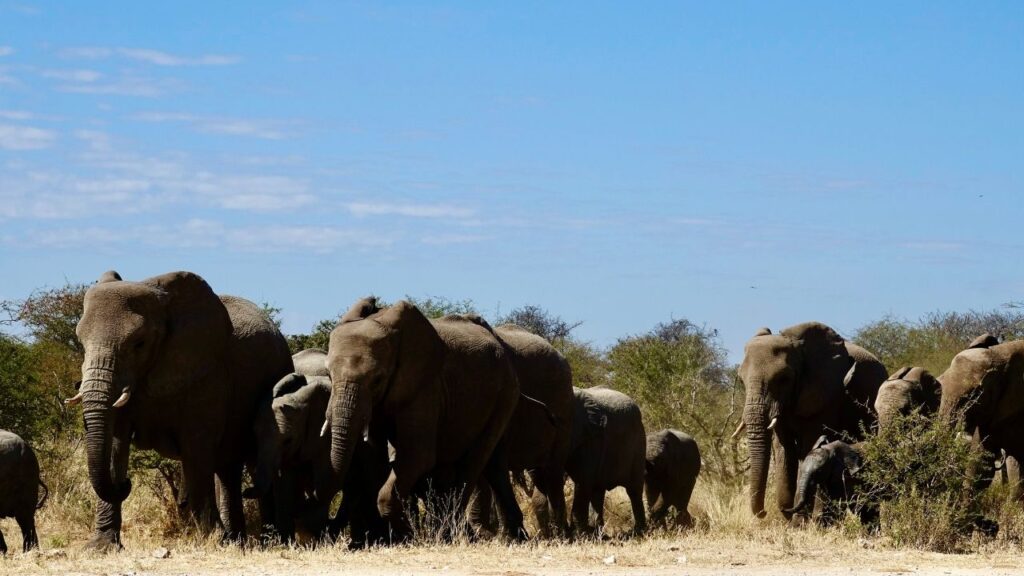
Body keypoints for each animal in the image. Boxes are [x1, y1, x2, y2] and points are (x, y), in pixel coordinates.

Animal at [69, 270, 293, 549]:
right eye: (81, 342)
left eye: (139, 343)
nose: (125, 484)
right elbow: (114, 441)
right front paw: (101, 547)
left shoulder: (208, 372)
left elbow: (196, 447)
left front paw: (210, 539)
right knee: (227, 468)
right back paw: (235, 540)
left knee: (254, 462)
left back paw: (268, 541)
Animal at [325, 298, 522, 543]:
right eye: (329, 375)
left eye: (377, 379)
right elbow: (376, 456)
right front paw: (391, 538)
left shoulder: (426, 387)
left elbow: (418, 456)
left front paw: (407, 537)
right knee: (493, 464)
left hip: (506, 392)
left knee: (474, 461)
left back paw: (449, 534)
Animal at [468, 324, 574, 539]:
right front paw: (484, 533)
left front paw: (497, 535)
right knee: (540, 473)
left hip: (562, 405)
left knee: (553, 471)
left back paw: (560, 534)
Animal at [566, 386, 647, 537]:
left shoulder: (592, 439)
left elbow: (583, 480)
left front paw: (580, 535)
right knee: (598, 491)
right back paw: (598, 532)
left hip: (638, 442)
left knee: (634, 490)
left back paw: (639, 531)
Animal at [737, 323, 887, 519]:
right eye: (741, 380)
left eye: (783, 379)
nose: (764, 513)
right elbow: (784, 450)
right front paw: (789, 519)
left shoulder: (827, 394)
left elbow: (809, 445)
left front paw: (800, 520)